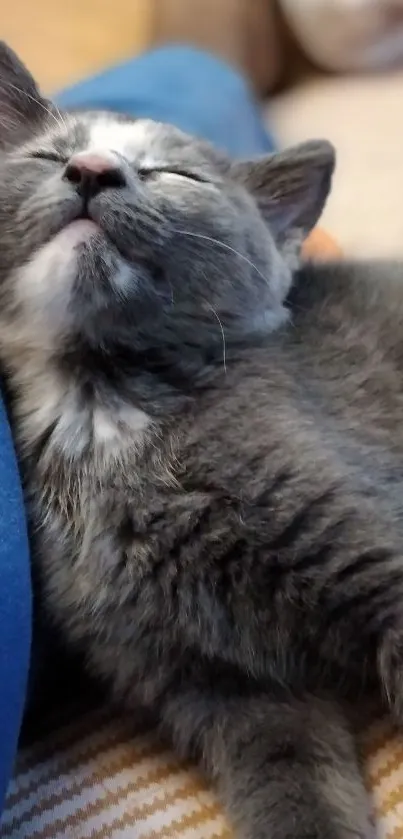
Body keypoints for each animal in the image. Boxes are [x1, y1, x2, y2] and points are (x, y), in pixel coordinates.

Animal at [1, 41, 402, 839]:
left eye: (174, 175)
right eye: (48, 156)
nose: (91, 170)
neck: (100, 405)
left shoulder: (364, 540)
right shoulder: (219, 684)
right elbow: (288, 779)